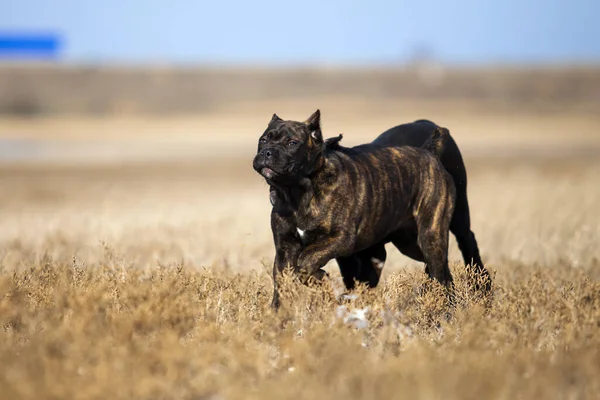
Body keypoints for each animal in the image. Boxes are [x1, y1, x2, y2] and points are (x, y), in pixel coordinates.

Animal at [253, 110, 468, 310]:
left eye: (292, 143)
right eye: (263, 140)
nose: (267, 152)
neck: (298, 192)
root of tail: (430, 154)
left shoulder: (340, 239)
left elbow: (306, 259)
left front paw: (321, 278)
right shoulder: (285, 247)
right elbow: (282, 280)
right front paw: (277, 312)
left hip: (430, 236)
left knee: (439, 270)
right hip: (410, 243)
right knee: (441, 269)